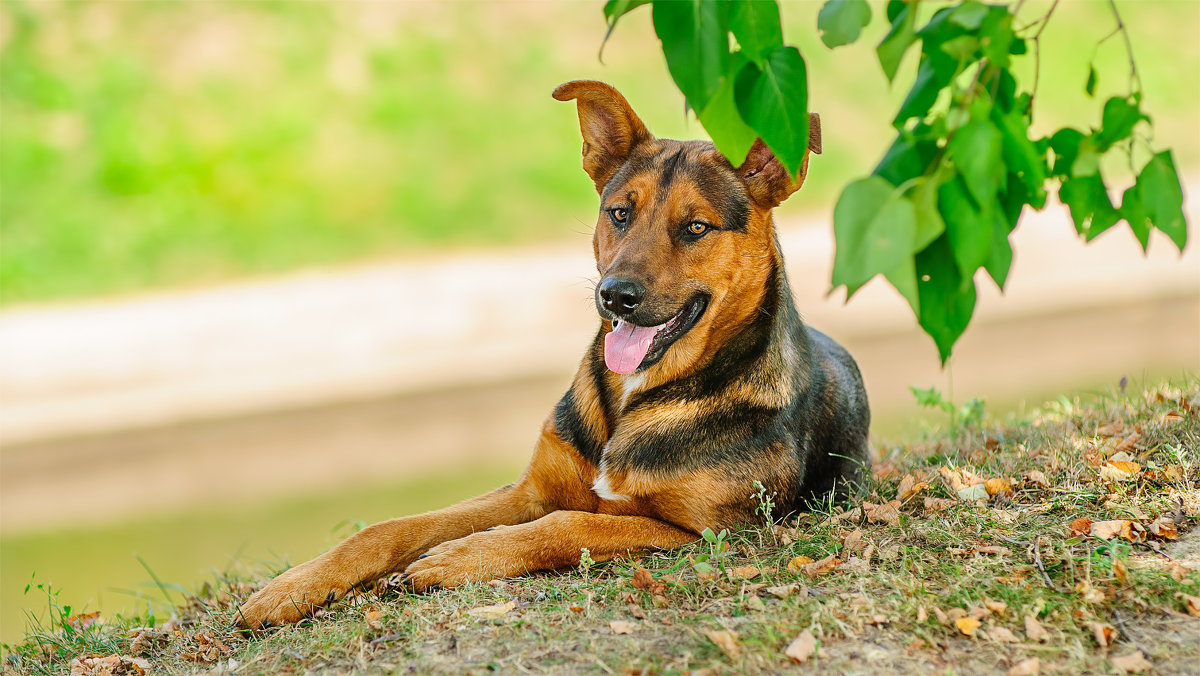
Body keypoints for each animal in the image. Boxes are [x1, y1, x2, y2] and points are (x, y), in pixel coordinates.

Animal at [231, 82, 873, 633]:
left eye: (695, 227)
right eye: (620, 213)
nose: (615, 296)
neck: (640, 393)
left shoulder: (705, 531)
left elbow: (571, 522)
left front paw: (458, 557)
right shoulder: (529, 490)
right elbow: (389, 528)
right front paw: (291, 587)